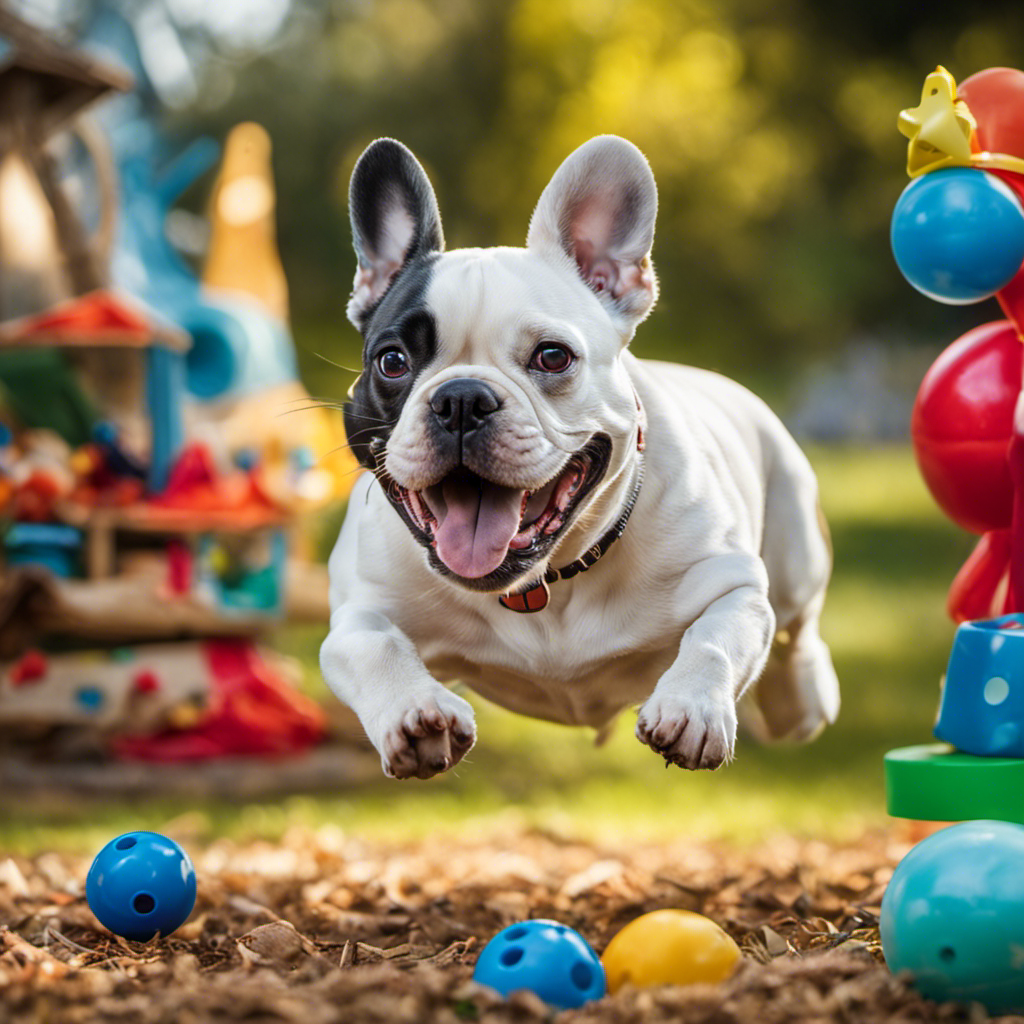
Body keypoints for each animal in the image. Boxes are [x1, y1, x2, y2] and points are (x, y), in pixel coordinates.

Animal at [321, 134, 839, 774]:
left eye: (552, 356)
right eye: (391, 361)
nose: (461, 399)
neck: (541, 584)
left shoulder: (733, 583)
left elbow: (715, 639)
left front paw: (691, 707)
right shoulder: (355, 614)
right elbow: (374, 646)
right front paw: (413, 714)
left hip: (796, 551)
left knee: (796, 633)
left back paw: (802, 692)